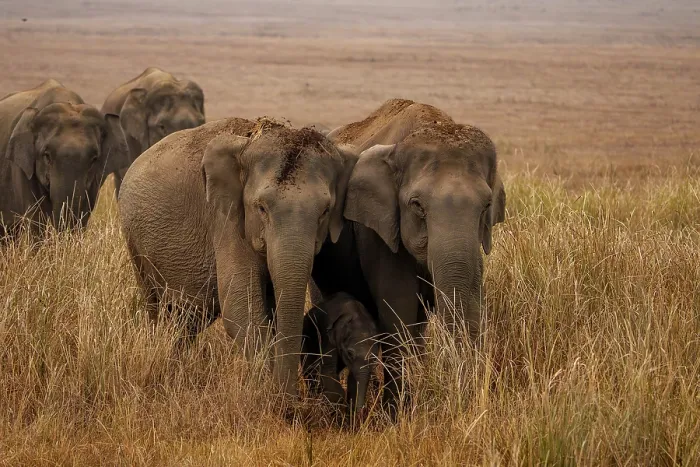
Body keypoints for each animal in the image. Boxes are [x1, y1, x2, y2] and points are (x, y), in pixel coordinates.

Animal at [118, 117, 357, 399]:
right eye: (261, 208)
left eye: (325, 211)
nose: (294, 398)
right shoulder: (227, 218)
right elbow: (241, 308)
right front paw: (273, 398)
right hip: (135, 243)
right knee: (158, 308)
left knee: (186, 319)